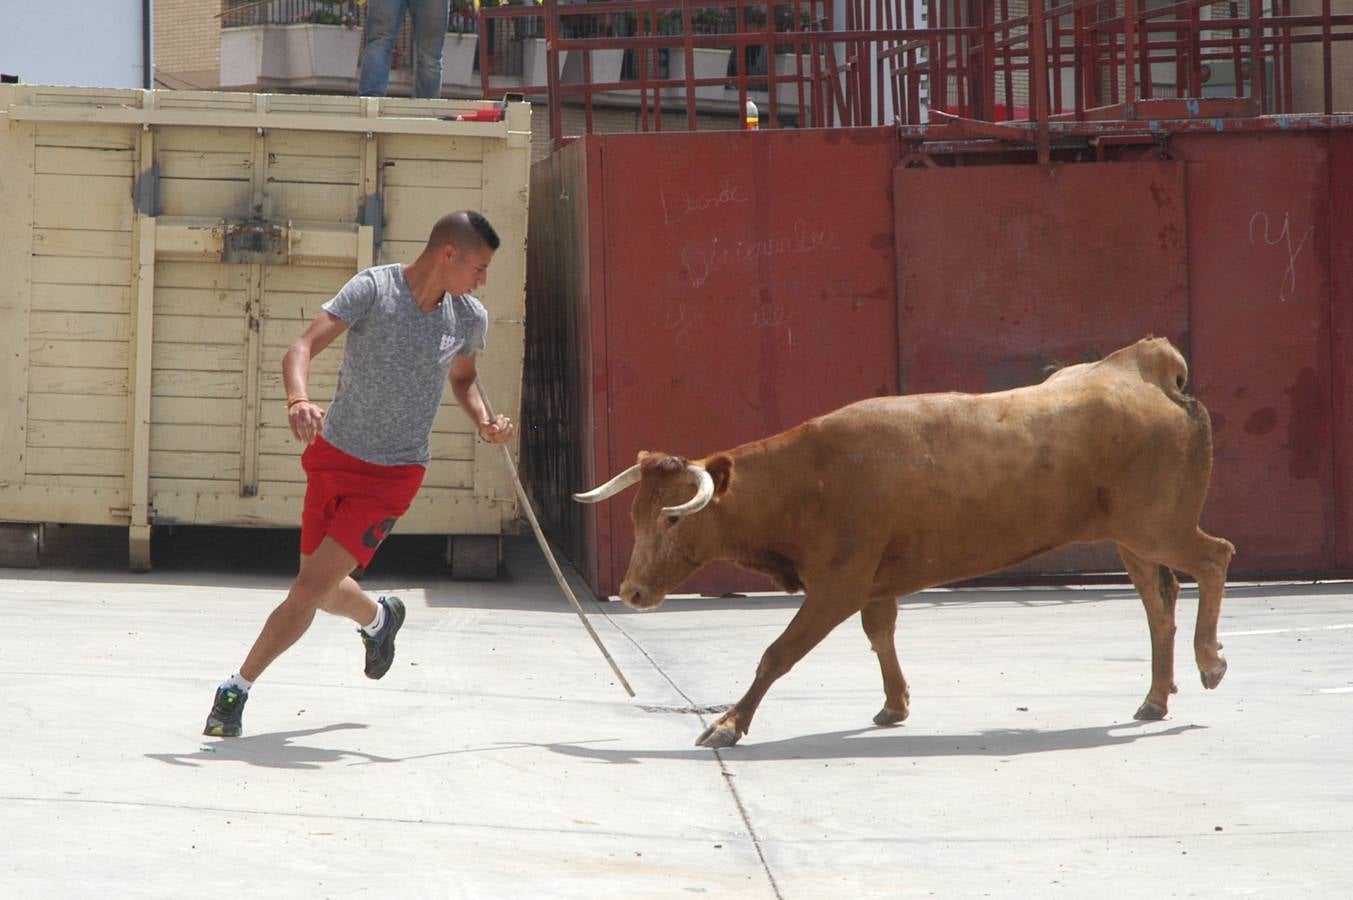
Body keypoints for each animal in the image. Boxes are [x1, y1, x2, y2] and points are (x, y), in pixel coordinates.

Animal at [576, 335, 1233, 741]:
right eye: (636, 516)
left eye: (673, 518)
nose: (632, 593)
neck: (810, 476)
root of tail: (1144, 367)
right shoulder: (874, 583)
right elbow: (880, 633)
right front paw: (895, 704)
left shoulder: (836, 587)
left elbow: (777, 654)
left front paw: (728, 725)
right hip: (1133, 537)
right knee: (1159, 602)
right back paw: (1155, 697)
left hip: (1158, 526)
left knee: (1213, 558)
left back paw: (1208, 662)